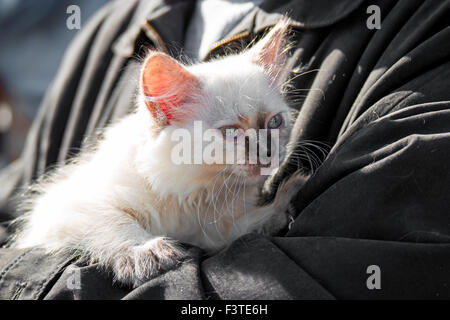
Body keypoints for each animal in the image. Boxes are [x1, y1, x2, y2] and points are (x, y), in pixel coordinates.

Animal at [12, 19, 304, 284]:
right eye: (231, 132)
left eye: (275, 123)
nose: (268, 152)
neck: (191, 193)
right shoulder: (63, 208)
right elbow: (113, 221)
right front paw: (145, 252)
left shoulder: (210, 231)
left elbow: (241, 231)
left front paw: (285, 197)